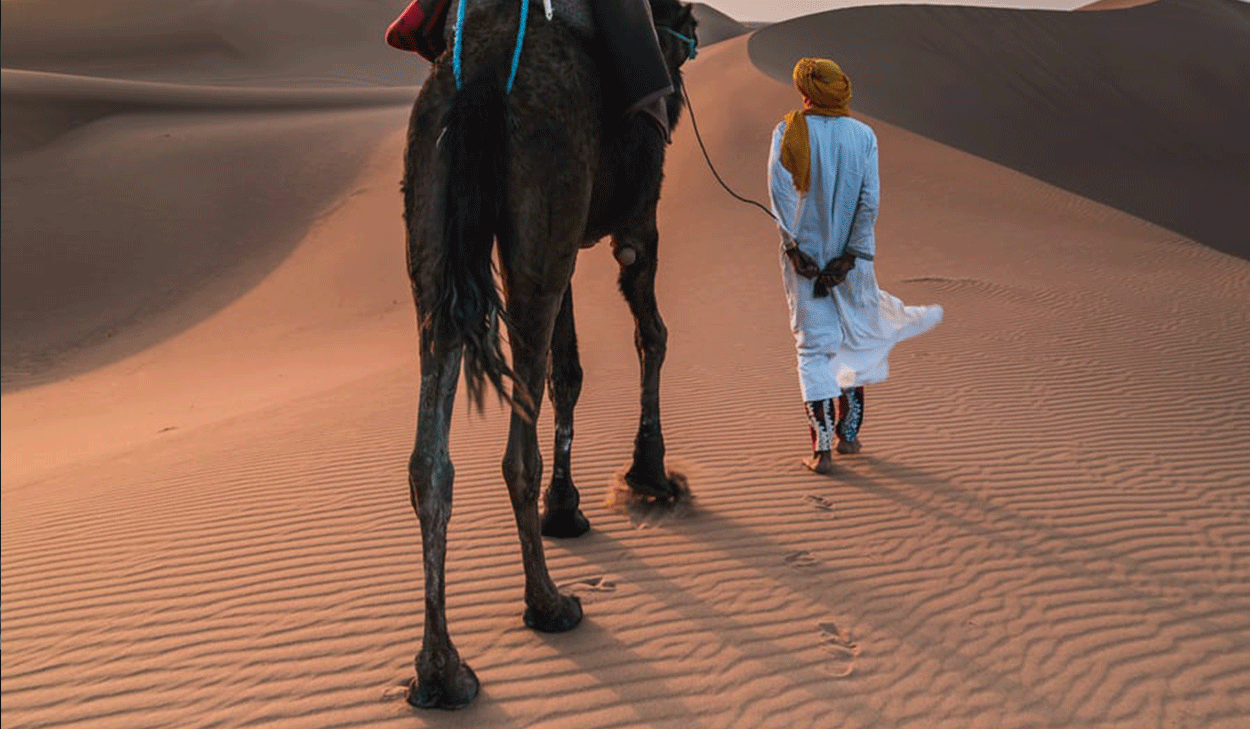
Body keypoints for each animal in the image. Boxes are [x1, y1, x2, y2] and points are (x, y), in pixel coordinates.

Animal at [400, 0, 695, 705]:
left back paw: (441, 671)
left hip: (434, 218)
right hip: (546, 203)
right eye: (685, 24)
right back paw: (549, 604)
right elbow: (652, 335)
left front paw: (567, 507)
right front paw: (649, 474)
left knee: (430, 459)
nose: (687, 44)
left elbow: (571, 371)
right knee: (516, 451)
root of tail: (480, 74)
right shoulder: (637, 221)